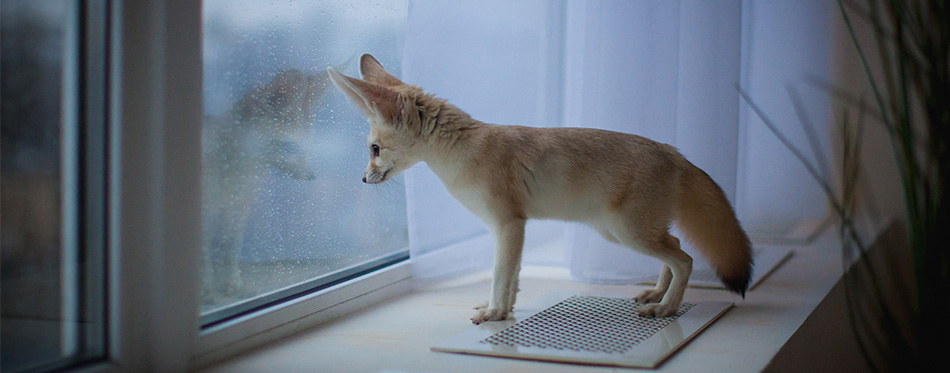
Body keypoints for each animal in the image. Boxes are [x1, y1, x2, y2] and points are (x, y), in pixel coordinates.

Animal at [330, 53, 756, 322]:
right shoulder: (511, 228)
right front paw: (504, 312)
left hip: (628, 232)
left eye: (373, 149)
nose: (363, 179)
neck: (465, 149)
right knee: (676, 250)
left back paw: (666, 308)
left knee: (685, 259)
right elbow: (513, 279)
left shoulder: (508, 224)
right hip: (625, 232)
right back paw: (657, 294)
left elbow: (501, 276)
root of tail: (676, 152)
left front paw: (494, 313)